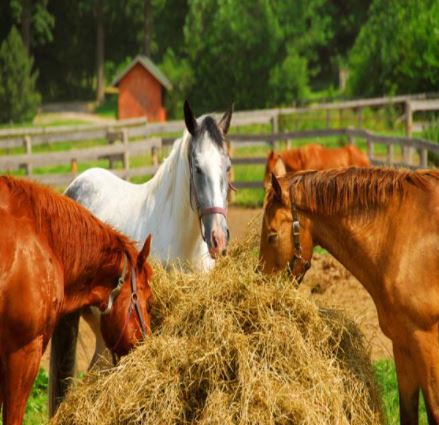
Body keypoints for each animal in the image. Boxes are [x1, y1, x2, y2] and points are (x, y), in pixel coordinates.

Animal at [260, 167, 439, 422]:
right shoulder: (403, 345)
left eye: (272, 236)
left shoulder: (426, 342)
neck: (402, 236)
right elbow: (408, 411)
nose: (262, 284)